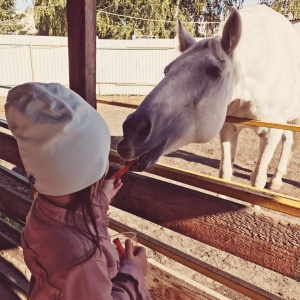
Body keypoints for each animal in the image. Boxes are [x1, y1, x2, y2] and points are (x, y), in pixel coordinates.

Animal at [116, 4, 300, 191]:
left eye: (214, 71)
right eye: (166, 71)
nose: (132, 130)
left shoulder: (271, 132)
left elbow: (257, 179)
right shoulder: (228, 127)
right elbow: (225, 174)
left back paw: (276, 180)